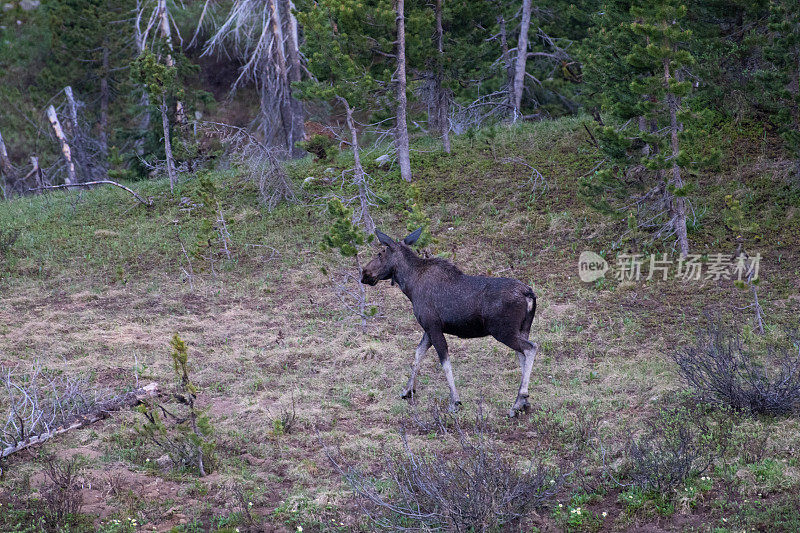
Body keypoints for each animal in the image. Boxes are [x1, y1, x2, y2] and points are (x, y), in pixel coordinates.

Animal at [360, 225, 536, 416]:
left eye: (380, 253)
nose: (364, 273)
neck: (410, 287)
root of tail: (529, 294)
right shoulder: (428, 328)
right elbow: (418, 354)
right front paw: (408, 390)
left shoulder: (433, 326)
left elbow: (444, 362)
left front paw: (454, 401)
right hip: (522, 328)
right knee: (522, 355)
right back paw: (523, 401)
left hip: (503, 330)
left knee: (530, 348)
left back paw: (519, 401)